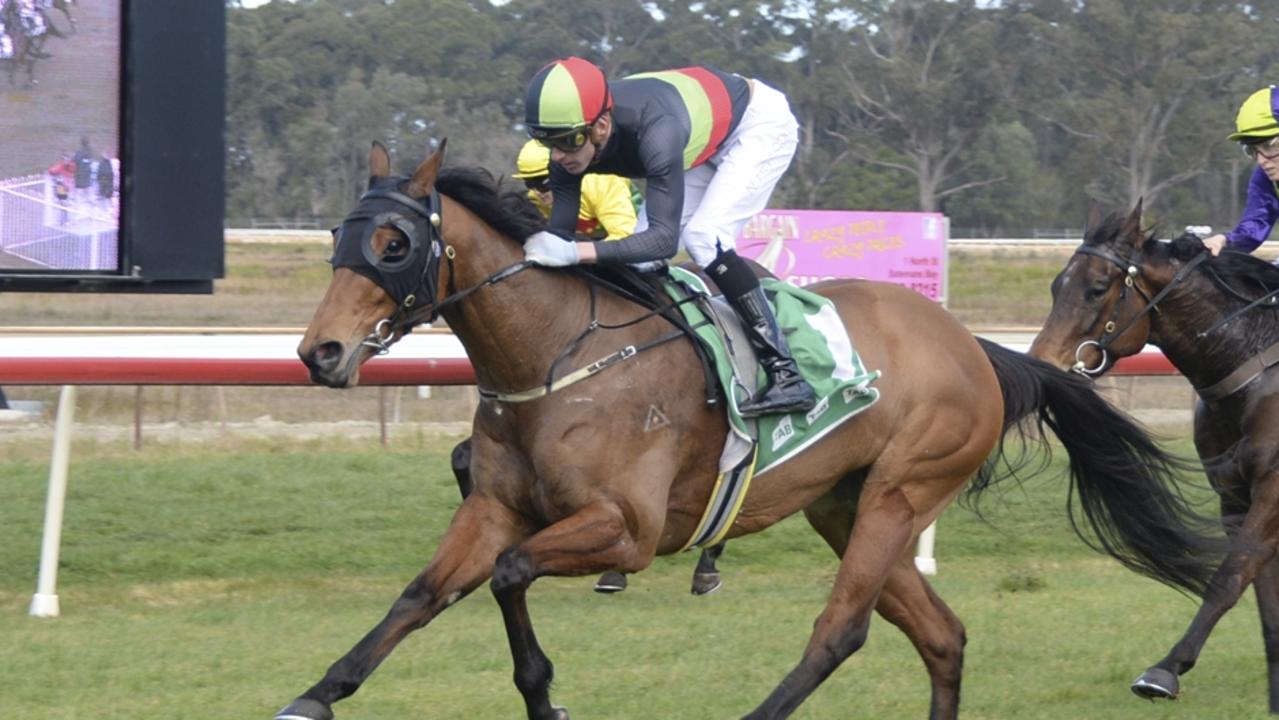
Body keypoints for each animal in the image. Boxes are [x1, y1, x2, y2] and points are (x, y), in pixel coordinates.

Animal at [282, 145, 1227, 720]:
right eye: (338, 235)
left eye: (394, 242)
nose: (318, 352)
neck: (555, 356)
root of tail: (975, 347)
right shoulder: (494, 507)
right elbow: (422, 593)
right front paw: (319, 692)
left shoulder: (625, 532)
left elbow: (511, 575)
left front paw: (544, 695)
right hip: (843, 505)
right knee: (941, 635)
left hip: (901, 490)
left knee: (841, 630)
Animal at [1033, 204, 1279, 716]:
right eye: (1056, 285)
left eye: (1097, 288)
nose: (1042, 364)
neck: (1253, 369)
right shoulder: (1236, 496)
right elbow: (1260, 587)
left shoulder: (1274, 488)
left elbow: (1228, 578)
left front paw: (1164, 670)